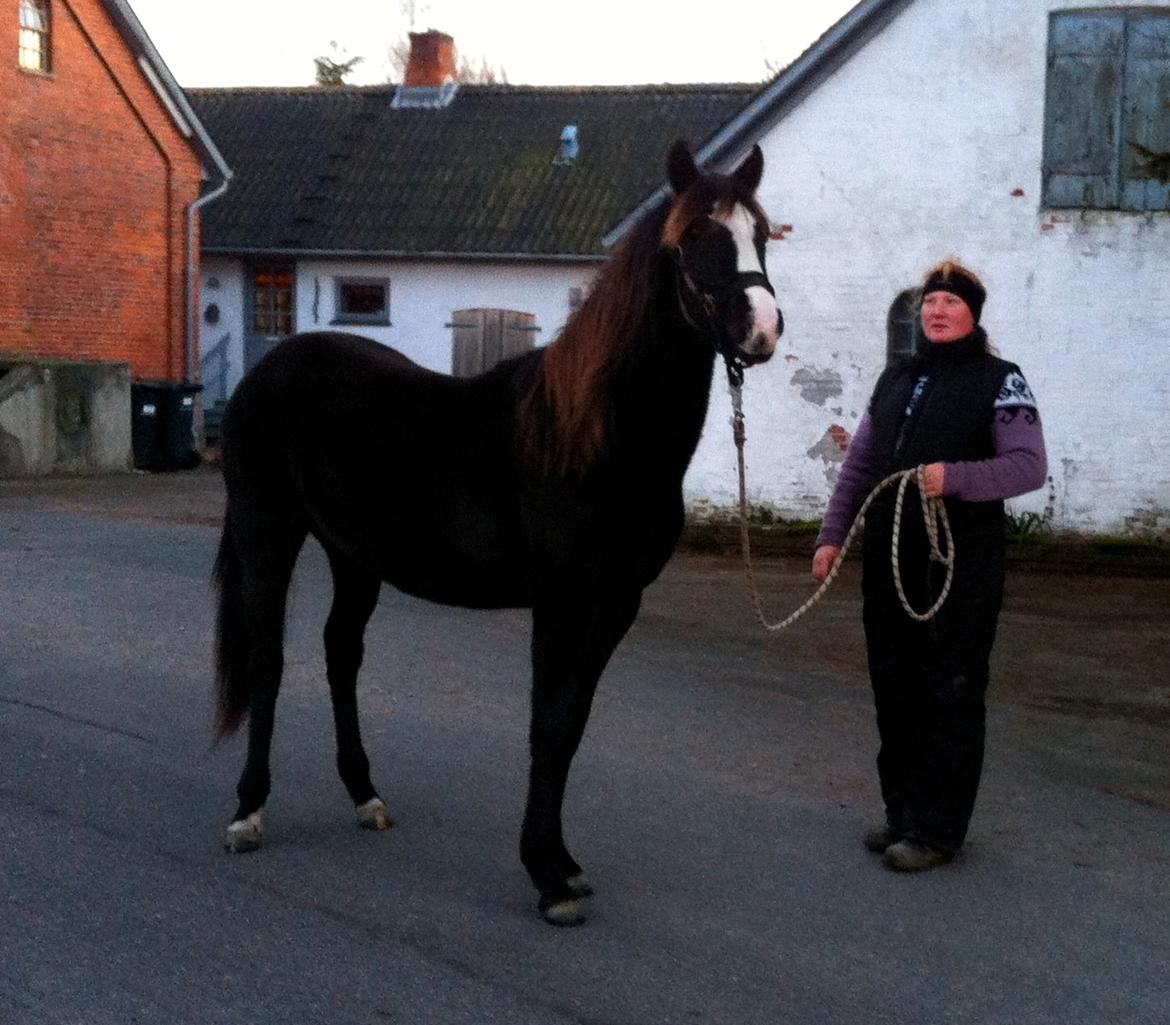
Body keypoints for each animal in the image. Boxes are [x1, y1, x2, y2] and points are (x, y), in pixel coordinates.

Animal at [217, 140, 786, 926]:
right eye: (695, 236)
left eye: (760, 235)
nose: (761, 327)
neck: (597, 442)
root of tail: (267, 369)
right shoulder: (562, 601)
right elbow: (547, 723)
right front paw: (547, 878)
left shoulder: (617, 603)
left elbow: (572, 725)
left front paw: (566, 864)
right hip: (267, 530)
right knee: (268, 662)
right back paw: (248, 813)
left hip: (353, 554)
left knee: (340, 654)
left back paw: (366, 796)